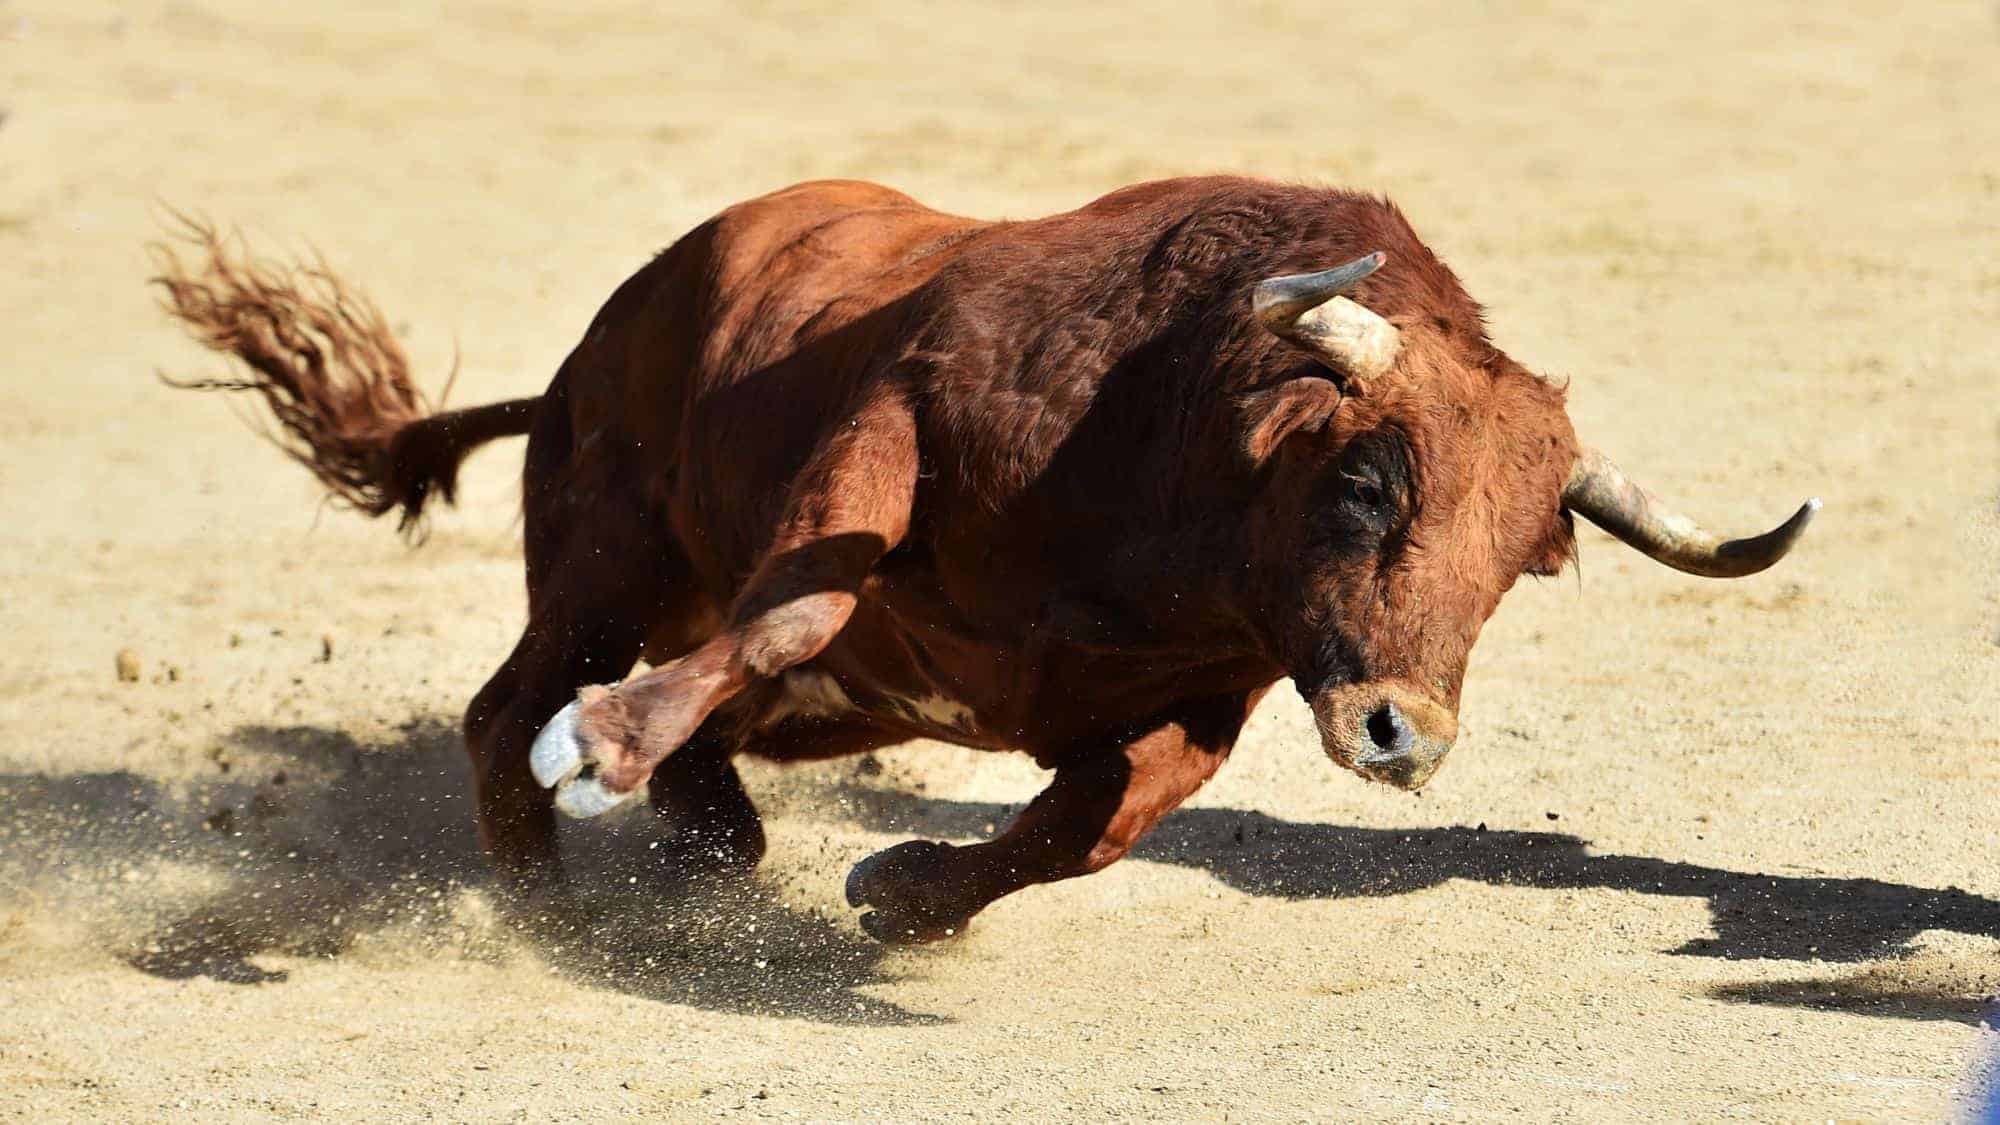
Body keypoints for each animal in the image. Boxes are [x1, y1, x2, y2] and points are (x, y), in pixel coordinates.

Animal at [152, 177, 1816, 942]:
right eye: (1364, 484)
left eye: (1522, 565)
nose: (1403, 735)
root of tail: (599, 338)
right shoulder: (898, 410)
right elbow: (803, 599)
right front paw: (607, 745)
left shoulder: (1204, 692)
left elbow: (1097, 825)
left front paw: (902, 889)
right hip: (604, 556)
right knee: (510, 708)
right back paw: (551, 884)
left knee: (721, 773)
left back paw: (696, 847)